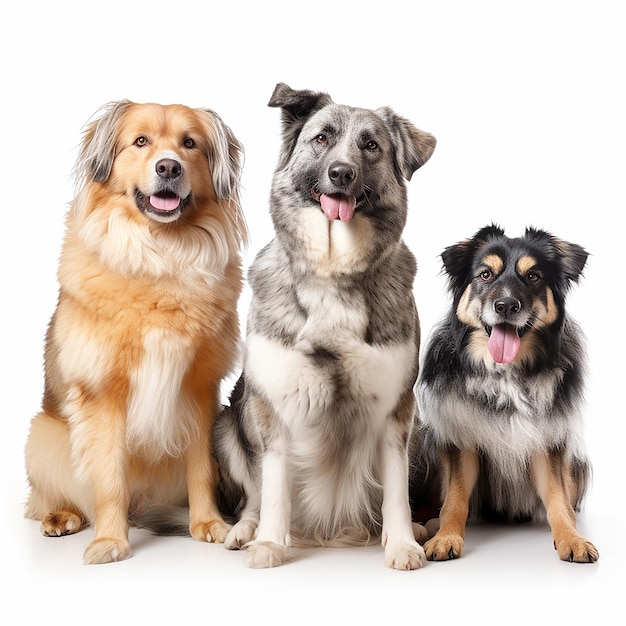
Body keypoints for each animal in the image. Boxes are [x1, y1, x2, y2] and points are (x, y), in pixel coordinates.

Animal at [24, 100, 249, 564]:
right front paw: (110, 541)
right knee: (45, 498)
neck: (160, 254)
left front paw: (209, 524)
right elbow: (109, 477)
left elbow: (201, 467)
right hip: (42, 435)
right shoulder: (104, 393)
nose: (168, 167)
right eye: (140, 141)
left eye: (189, 143)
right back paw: (62, 516)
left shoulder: (200, 389)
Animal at [210, 83, 434, 564]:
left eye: (371, 146)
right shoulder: (272, 405)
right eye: (321, 138)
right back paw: (245, 530)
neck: (333, 270)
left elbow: (395, 489)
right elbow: (273, 486)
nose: (341, 173)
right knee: (252, 495)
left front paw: (401, 542)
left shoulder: (397, 410)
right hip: (230, 421)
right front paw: (270, 542)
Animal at [412, 223, 596, 560]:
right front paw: (446, 537)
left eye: (533, 276)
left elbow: (559, 500)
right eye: (485, 274)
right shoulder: (460, 439)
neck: (505, 373)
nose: (507, 306)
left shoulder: (548, 439)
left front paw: (572, 539)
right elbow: (454, 499)